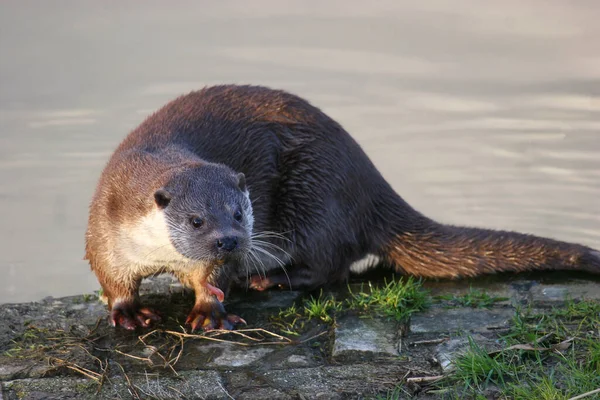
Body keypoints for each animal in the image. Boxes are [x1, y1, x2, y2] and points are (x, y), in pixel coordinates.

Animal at [85, 83, 600, 330]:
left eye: (238, 213)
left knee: (332, 264)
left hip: (316, 195)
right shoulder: (105, 227)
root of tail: (369, 181)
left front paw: (210, 310)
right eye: (196, 220)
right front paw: (127, 311)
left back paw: (271, 279)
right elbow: (112, 277)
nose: (230, 241)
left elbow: (215, 279)